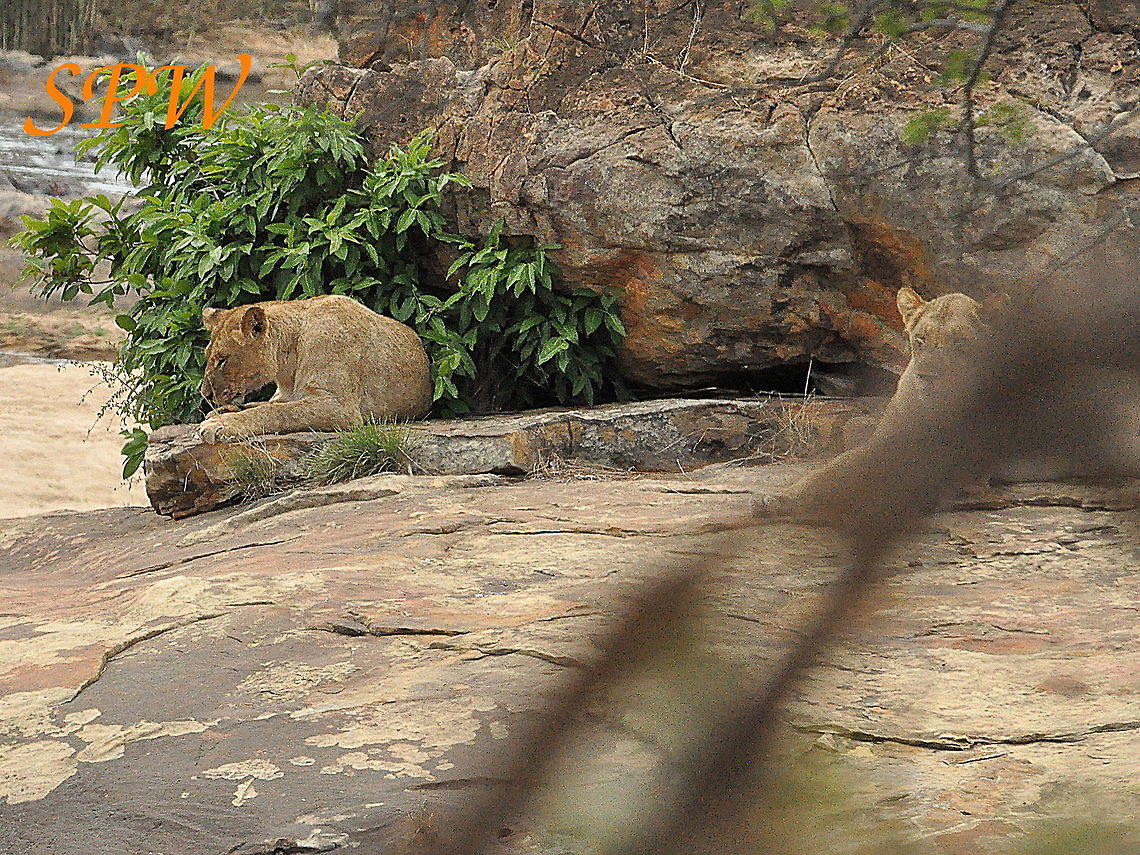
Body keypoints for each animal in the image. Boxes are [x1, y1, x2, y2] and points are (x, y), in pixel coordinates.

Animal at [197, 295, 433, 444]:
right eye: (208, 356)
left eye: (222, 360)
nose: (205, 394)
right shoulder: (284, 395)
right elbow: (265, 405)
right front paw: (222, 413)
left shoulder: (339, 407)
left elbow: (275, 412)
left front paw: (220, 424)